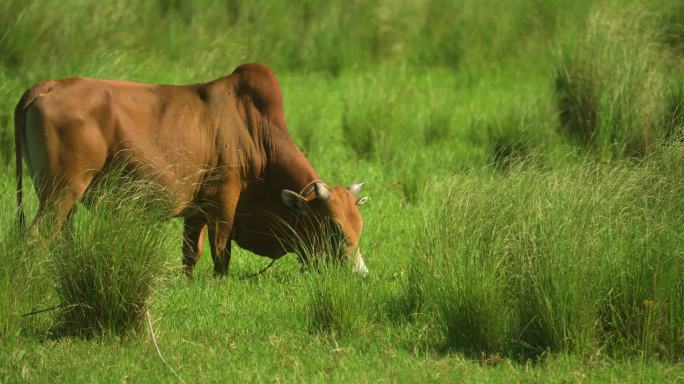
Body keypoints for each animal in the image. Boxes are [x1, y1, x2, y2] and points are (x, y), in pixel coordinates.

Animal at [14, 64, 368, 278]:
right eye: (334, 229)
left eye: (359, 226)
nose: (361, 275)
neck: (255, 131)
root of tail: (46, 87)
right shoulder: (224, 203)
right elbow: (221, 253)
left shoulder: (196, 210)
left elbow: (190, 254)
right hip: (60, 194)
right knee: (34, 239)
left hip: (65, 201)